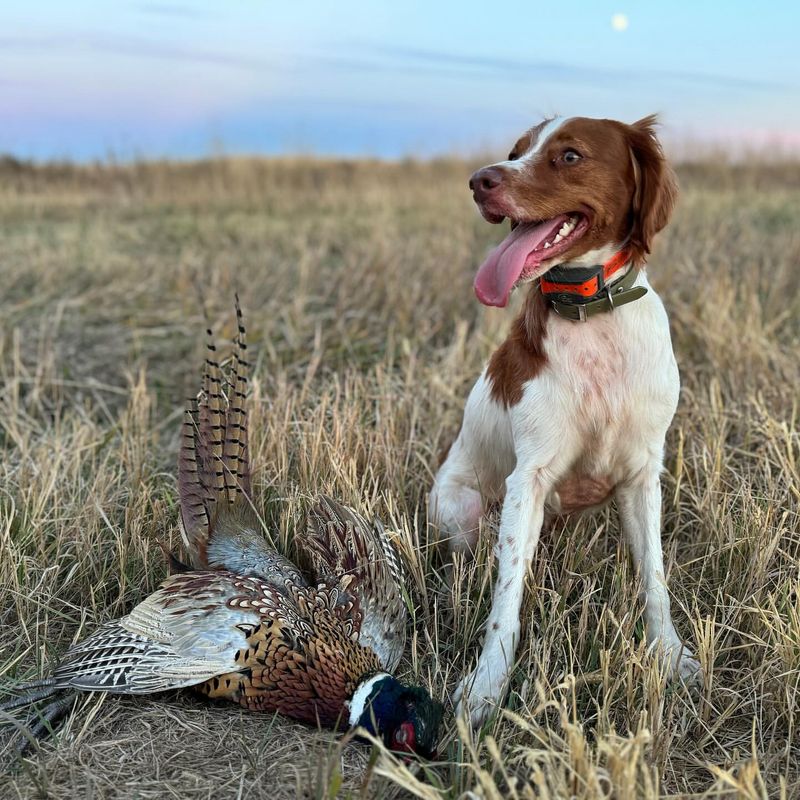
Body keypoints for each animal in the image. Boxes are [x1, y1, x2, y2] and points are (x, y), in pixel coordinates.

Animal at [432, 117, 700, 724]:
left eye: (570, 155)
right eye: (515, 151)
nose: (480, 181)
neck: (589, 312)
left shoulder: (643, 473)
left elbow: (654, 578)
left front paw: (671, 657)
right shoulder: (527, 479)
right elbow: (507, 595)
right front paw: (485, 688)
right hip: (459, 507)